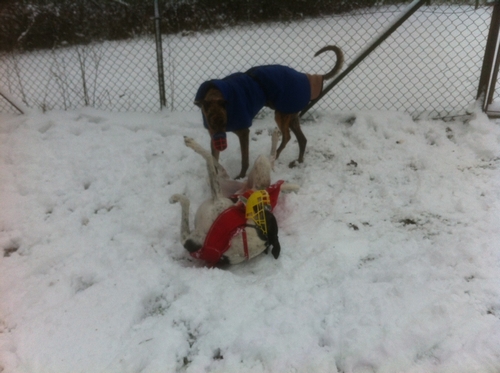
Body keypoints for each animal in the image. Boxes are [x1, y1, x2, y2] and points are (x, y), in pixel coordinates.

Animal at [170, 131, 298, 264]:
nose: (243, 200)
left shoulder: (188, 239)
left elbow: (186, 201)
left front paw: (174, 198)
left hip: (252, 169)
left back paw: (191, 143)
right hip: (235, 180)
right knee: (222, 166)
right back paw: (275, 135)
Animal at [193, 45, 342, 178]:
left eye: (225, 121)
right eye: (211, 123)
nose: (221, 145)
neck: (217, 93)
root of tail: (306, 77)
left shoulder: (243, 133)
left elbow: (244, 159)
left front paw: (241, 176)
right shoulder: (212, 134)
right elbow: (213, 158)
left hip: (281, 114)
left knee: (287, 136)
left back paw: (275, 155)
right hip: (291, 115)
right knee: (302, 139)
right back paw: (298, 161)